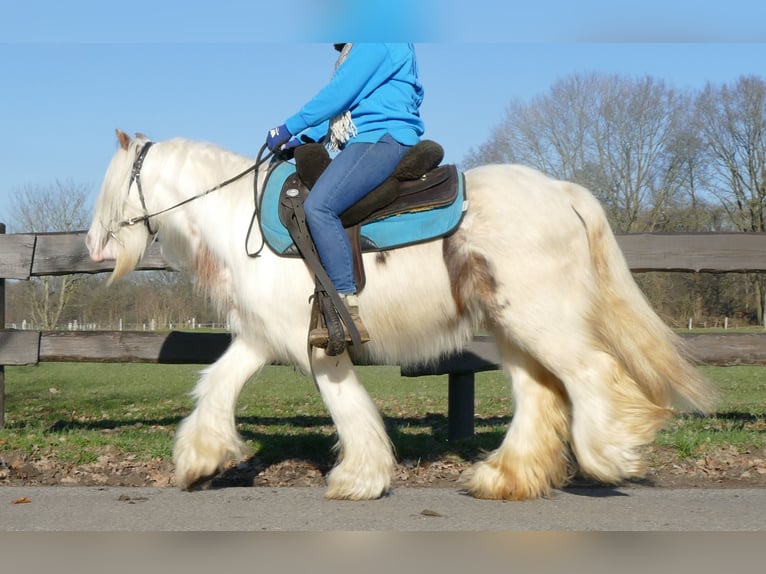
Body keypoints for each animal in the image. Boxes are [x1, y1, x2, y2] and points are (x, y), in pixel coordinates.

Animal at [87, 129, 716, 500]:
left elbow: (345, 406)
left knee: (592, 375)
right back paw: (503, 477)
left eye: (112, 187)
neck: (242, 219)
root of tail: (561, 191)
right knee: (541, 395)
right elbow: (217, 384)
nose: (93, 246)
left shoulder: (317, 343)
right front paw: (200, 460)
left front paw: (359, 477)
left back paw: (611, 454)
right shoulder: (262, 339)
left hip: (541, 321)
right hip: (512, 329)